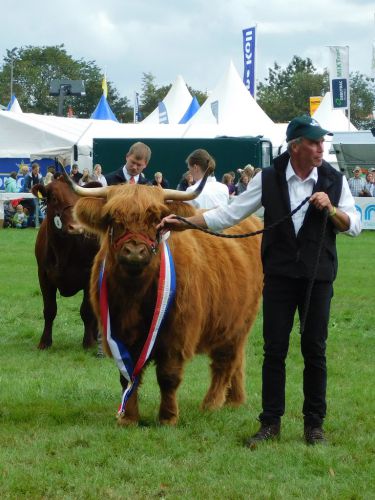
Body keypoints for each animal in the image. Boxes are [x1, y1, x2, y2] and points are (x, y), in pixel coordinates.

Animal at [32, 178, 99, 350]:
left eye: (79, 197)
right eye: (54, 198)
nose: (76, 227)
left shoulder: (89, 275)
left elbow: (86, 311)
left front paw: (88, 342)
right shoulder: (43, 275)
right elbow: (49, 309)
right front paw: (44, 342)